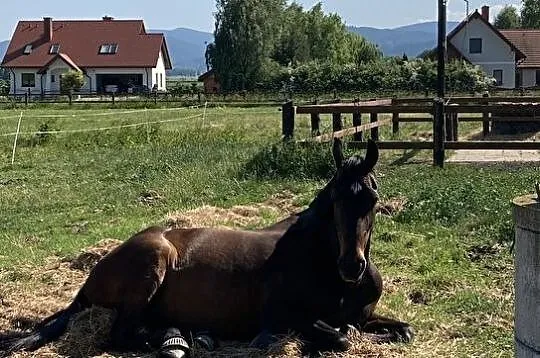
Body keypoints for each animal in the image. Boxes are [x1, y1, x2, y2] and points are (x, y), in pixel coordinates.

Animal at [1, 139, 414, 358]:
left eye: (373, 198)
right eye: (336, 200)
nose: (351, 266)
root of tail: (92, 275)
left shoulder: (363, 315)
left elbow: (400, 329)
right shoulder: (282, 319)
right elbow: (341, 335)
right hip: (152, 262)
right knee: (121, 333)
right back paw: (176, 339)